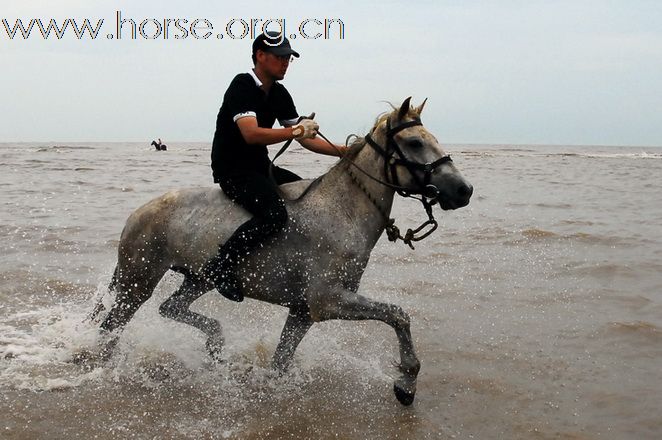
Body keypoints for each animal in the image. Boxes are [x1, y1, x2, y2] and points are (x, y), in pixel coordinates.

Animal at [91, 97, 474, 406]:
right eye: (414, 142)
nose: (464, 190)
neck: (342, 211)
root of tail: (138, 213)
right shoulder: (328, 301)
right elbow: (398, 315)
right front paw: (406, 383)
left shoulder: (303, 311)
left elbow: (281, 360)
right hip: (137, 282)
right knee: (111, 328)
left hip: (199, 279)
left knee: (170, 308)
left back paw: (216, 346)